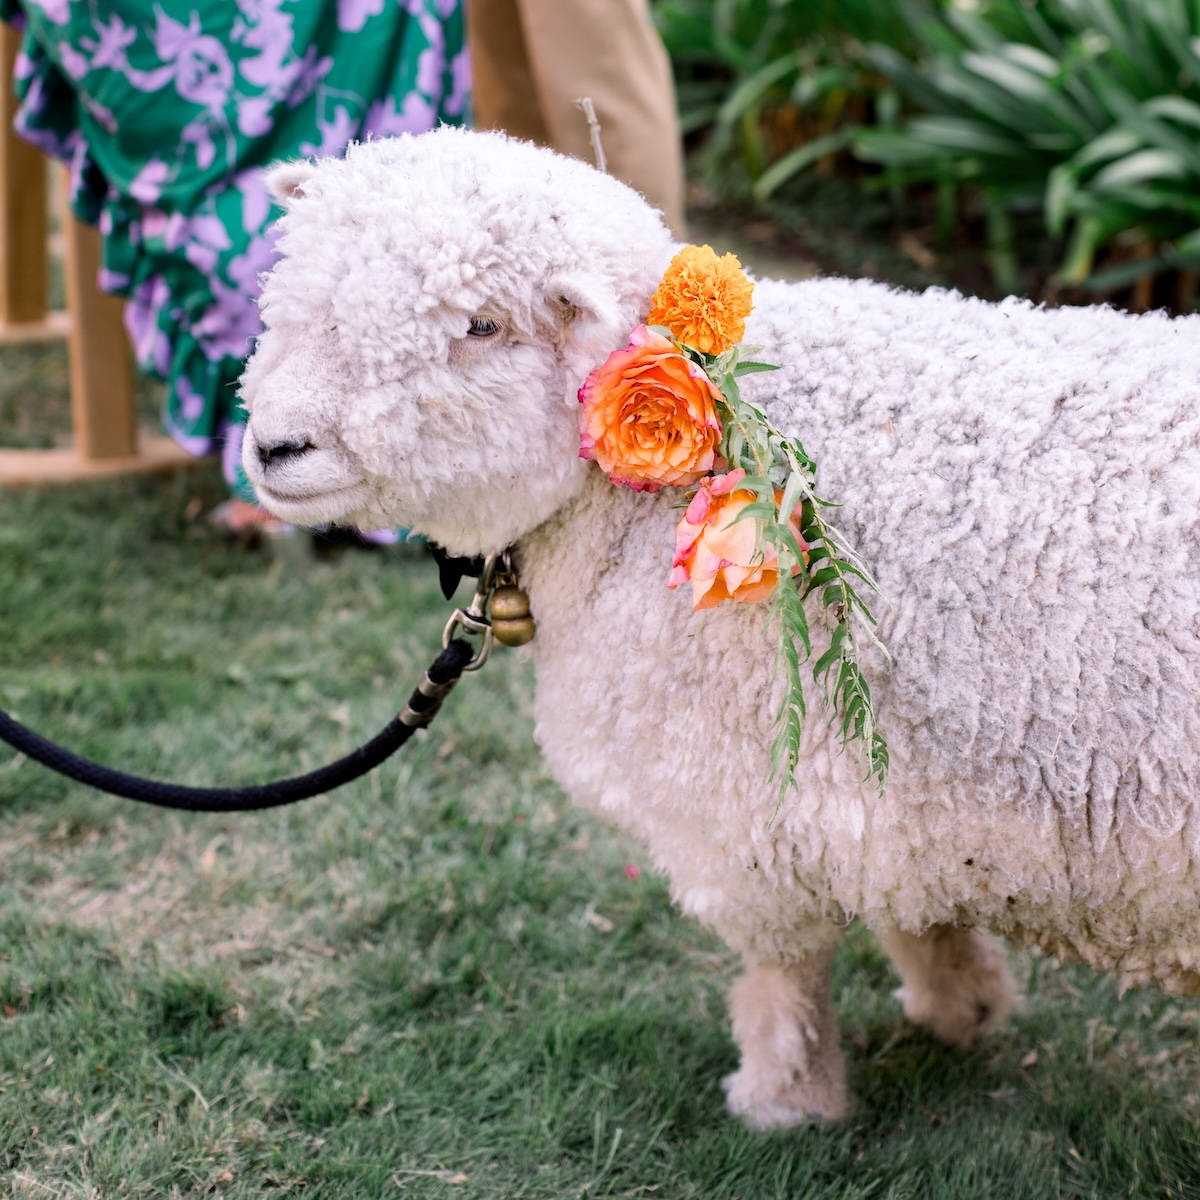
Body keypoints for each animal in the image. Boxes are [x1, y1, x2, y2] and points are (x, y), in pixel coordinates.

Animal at [238, 127, 1200, 1127]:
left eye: (481, 327)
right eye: (291, 291)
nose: (274, 446)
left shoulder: (749, 805)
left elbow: (782, 973)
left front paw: (782, 1100)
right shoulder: (903, 796)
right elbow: (917, 913)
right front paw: (960, 1008)